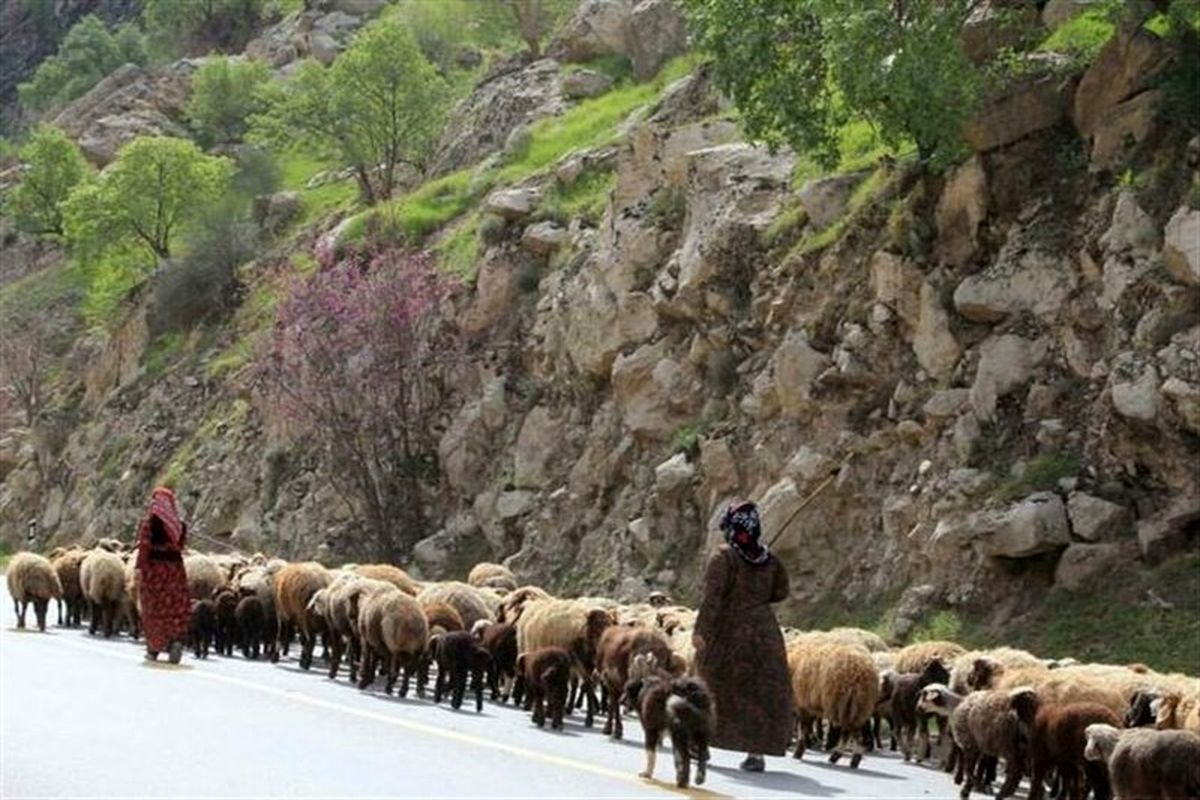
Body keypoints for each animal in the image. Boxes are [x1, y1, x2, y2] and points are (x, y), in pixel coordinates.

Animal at [624, 652, 715, 791]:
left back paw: (682, 781)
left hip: (680, 733)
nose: (620, 701)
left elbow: (651, 754)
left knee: (685, 757)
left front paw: (647, 773)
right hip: (700, 732)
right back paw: (697, 778)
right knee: (702, 754)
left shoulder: (651, 730)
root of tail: (689, 693)